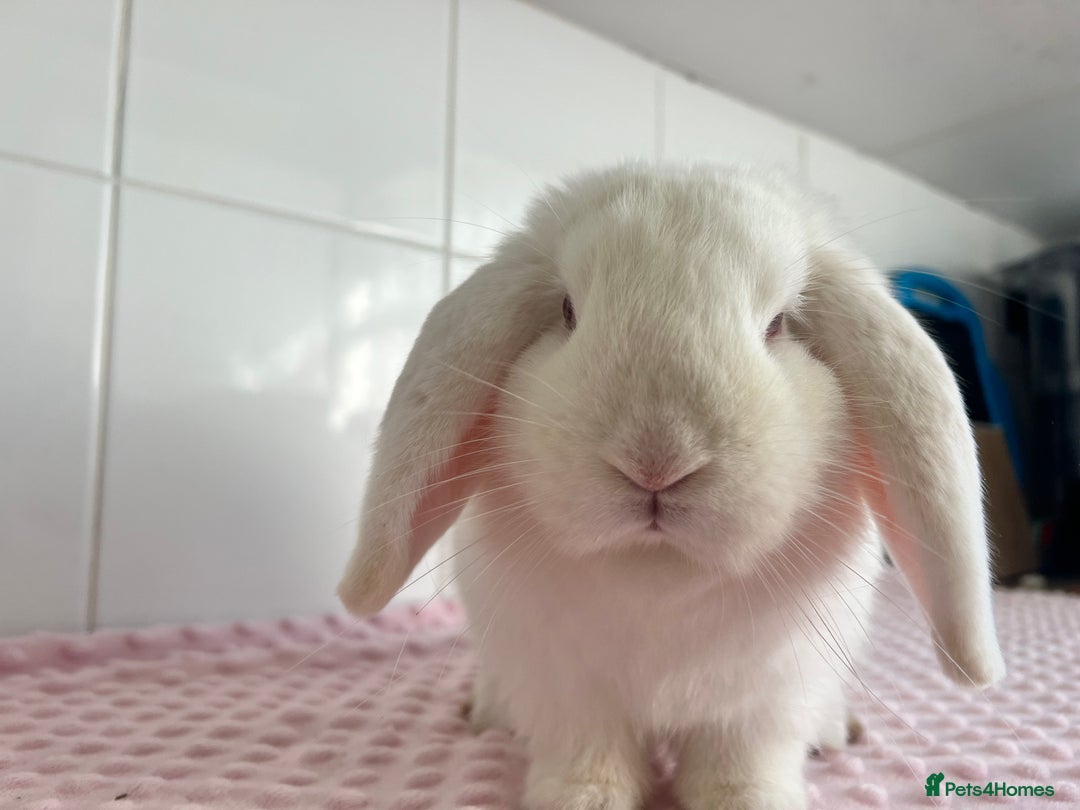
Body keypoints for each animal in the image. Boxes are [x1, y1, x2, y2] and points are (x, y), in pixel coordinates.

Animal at [338, 163, 1005, 810]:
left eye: (778, 325)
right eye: (567, 312)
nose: (657, 460)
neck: (657, 571)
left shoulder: (758, 704)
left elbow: (740, 768)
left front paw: (749, 802)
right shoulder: (568, 694)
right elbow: (586, 758)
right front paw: (579, 801)